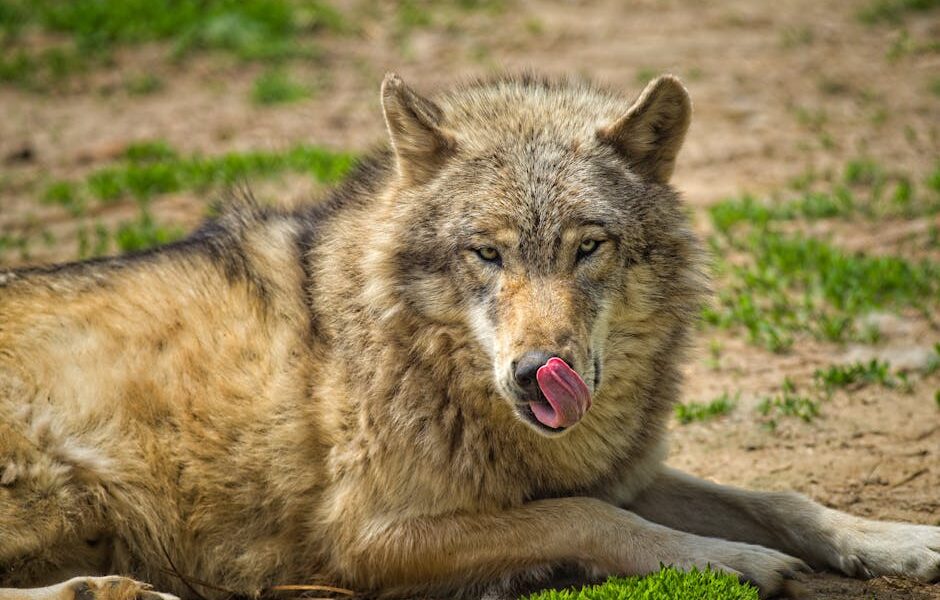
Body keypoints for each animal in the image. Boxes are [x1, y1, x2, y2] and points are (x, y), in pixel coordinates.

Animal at [1, 73, 938, 600]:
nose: (537, 373)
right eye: (486, 252)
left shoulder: (620, 469)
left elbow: (781, 499)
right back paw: (103, 590)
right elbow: (588, 516)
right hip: (59, 483)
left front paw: (895, 542)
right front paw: (728, 561)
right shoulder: (368, 539)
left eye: (588, 247)